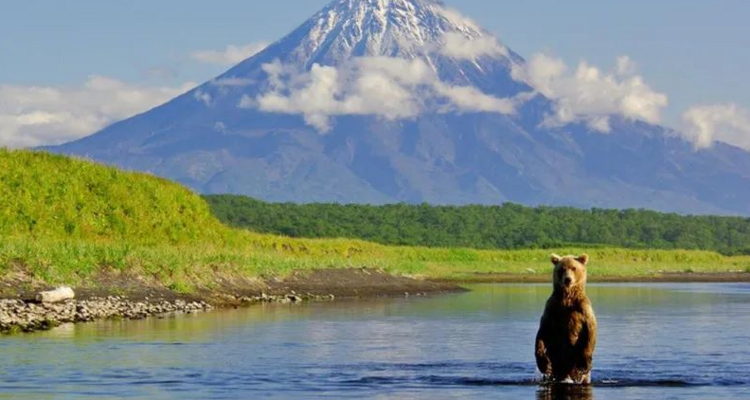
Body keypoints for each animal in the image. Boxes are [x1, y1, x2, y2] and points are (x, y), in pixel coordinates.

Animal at [536, 253, 600, 384]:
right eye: (561, 269)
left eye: (574, 268)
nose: (568, 279)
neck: (567, 298)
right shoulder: (552, 308)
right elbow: (542, 331)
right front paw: (544, 364)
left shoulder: (583, 309)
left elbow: (590, 330)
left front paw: (584, 363)